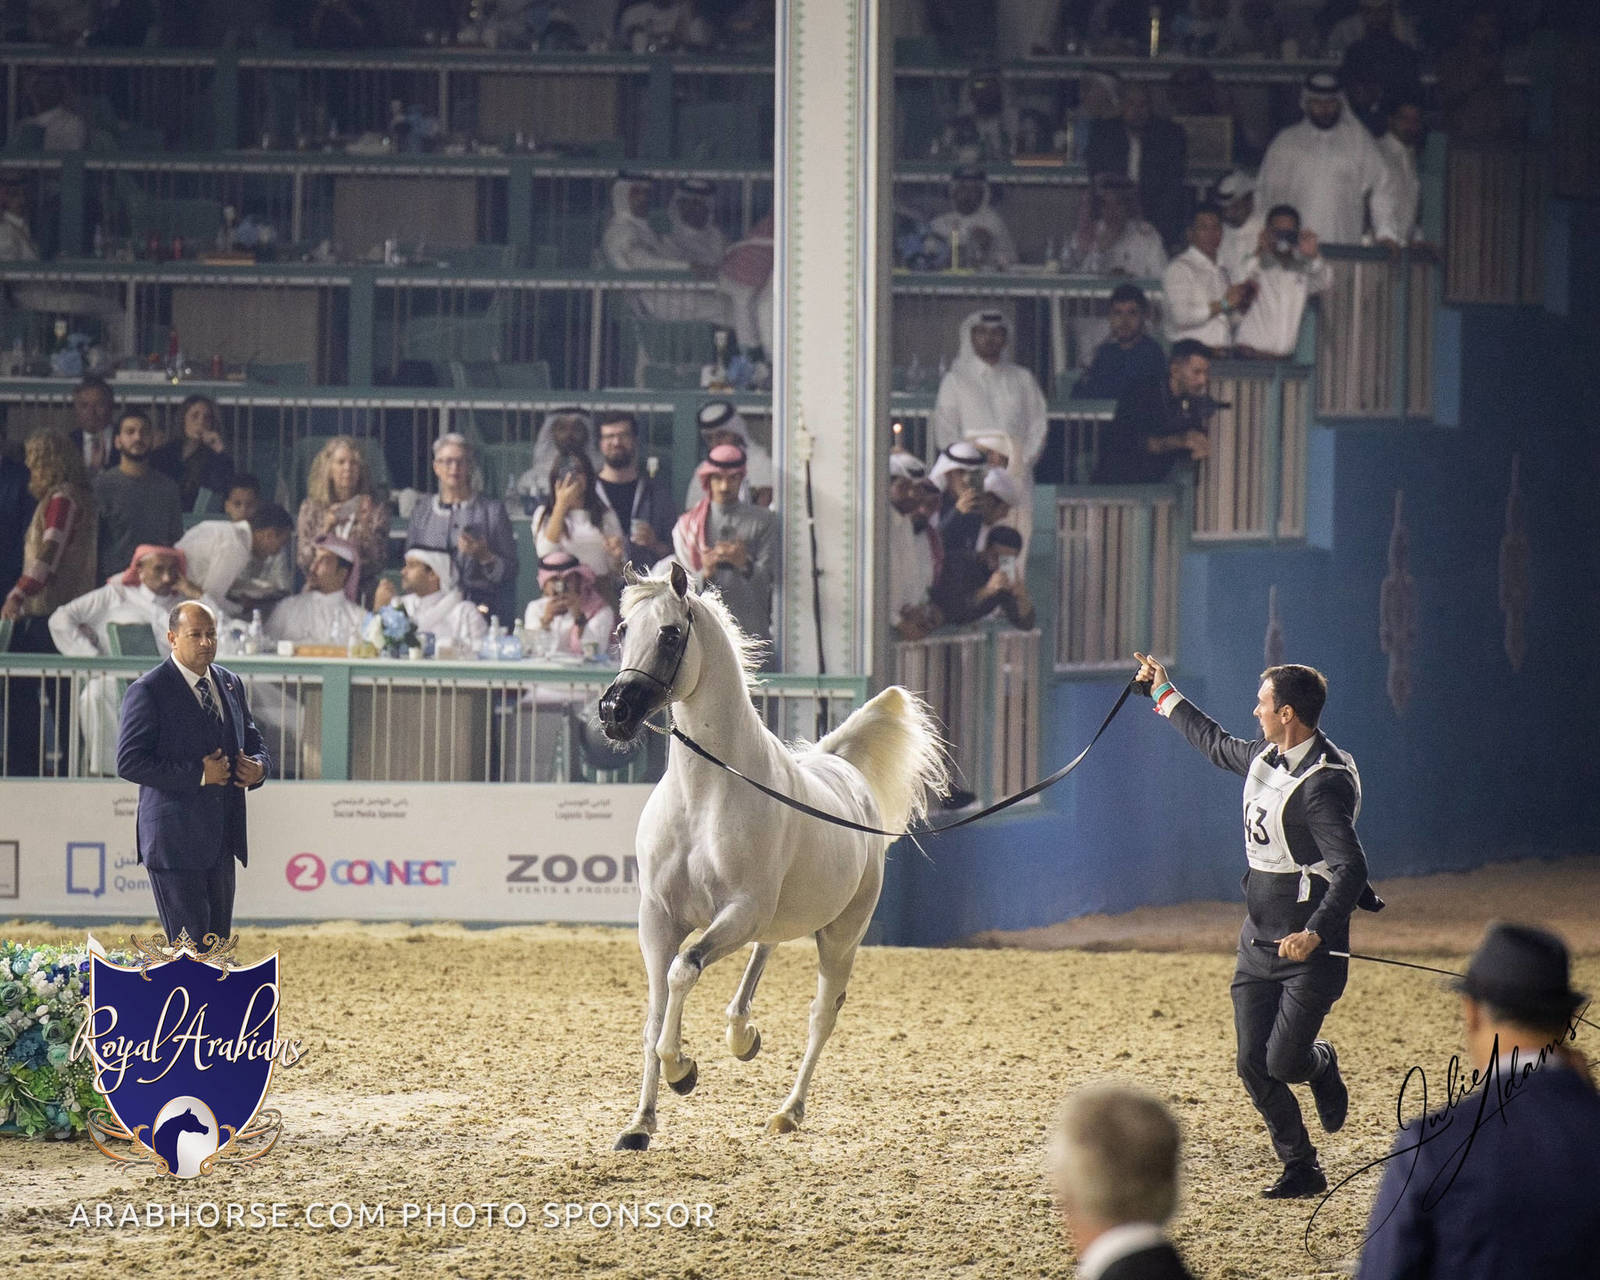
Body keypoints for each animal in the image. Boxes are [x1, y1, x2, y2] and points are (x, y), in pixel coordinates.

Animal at [597, 561, 949, 1150]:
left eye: (669, 634)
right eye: (623, 630)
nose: (614, 712)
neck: (703, 797)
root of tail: (844, 769)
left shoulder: (738, 910)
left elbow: (682, 972)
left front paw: (682, 1071)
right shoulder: (658, 916)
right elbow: (654, 1011)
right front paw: (639, 1125)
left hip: (840, 935)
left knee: (822, 1014)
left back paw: (789, 1110)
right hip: (779, 917)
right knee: (765, 956)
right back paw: (743, 1035)